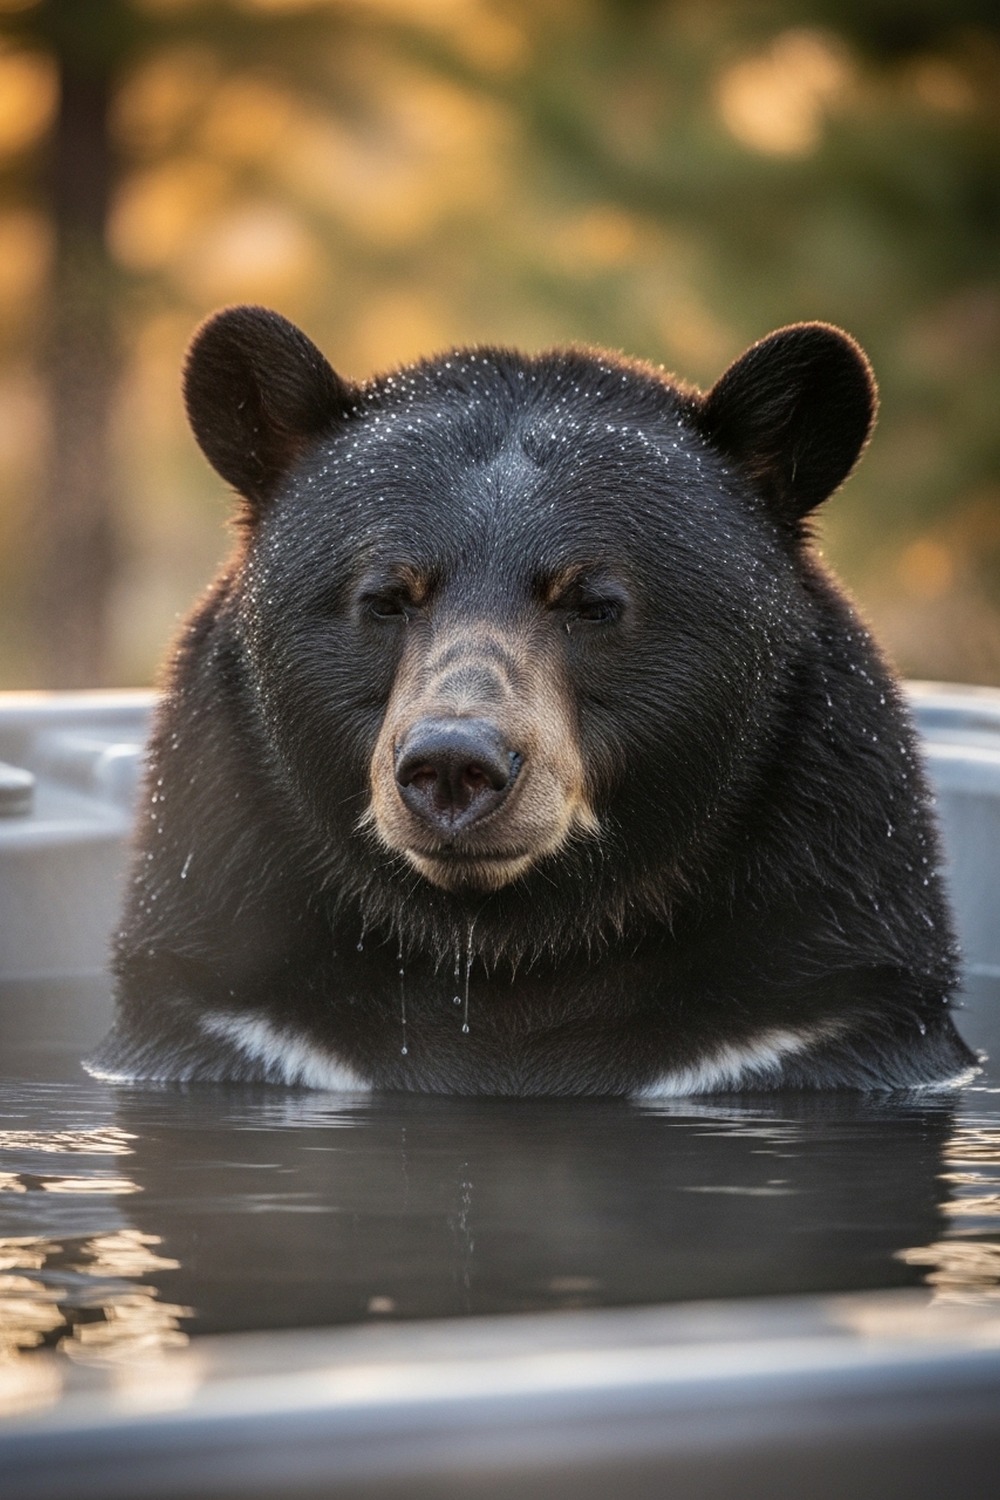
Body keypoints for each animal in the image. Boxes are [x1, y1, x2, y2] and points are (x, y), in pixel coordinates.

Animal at [89, 306, 979, 1096]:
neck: (507, 949)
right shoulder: (238, 1012)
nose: (455, 765)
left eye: (593, 603)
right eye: (385, 598)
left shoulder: (803, 1012)